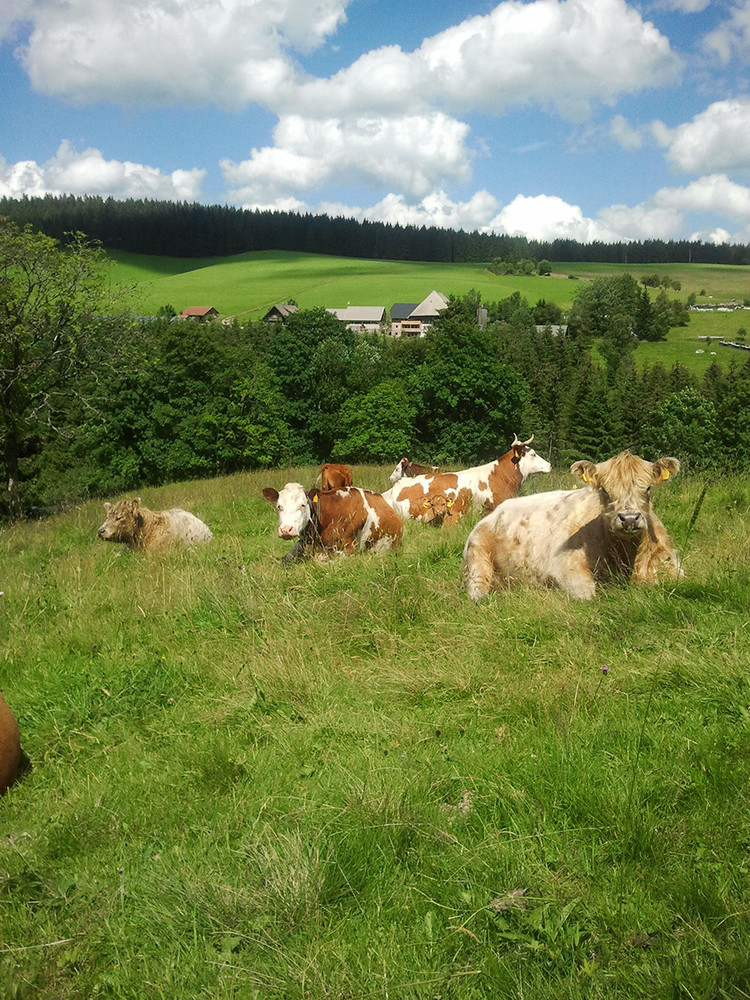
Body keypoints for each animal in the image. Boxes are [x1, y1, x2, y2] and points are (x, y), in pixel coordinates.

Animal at [262, 483, 402, 559]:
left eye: (302, 505)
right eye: (279, 506)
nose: (286, 530)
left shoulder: (350, 548)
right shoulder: (304, 541)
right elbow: (287, 557)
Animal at [463, 451, 681, 601]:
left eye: (648, 488)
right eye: (604, 490)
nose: (629, 518)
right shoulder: (566, 567)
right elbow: (588, 594)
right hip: (477, 558)